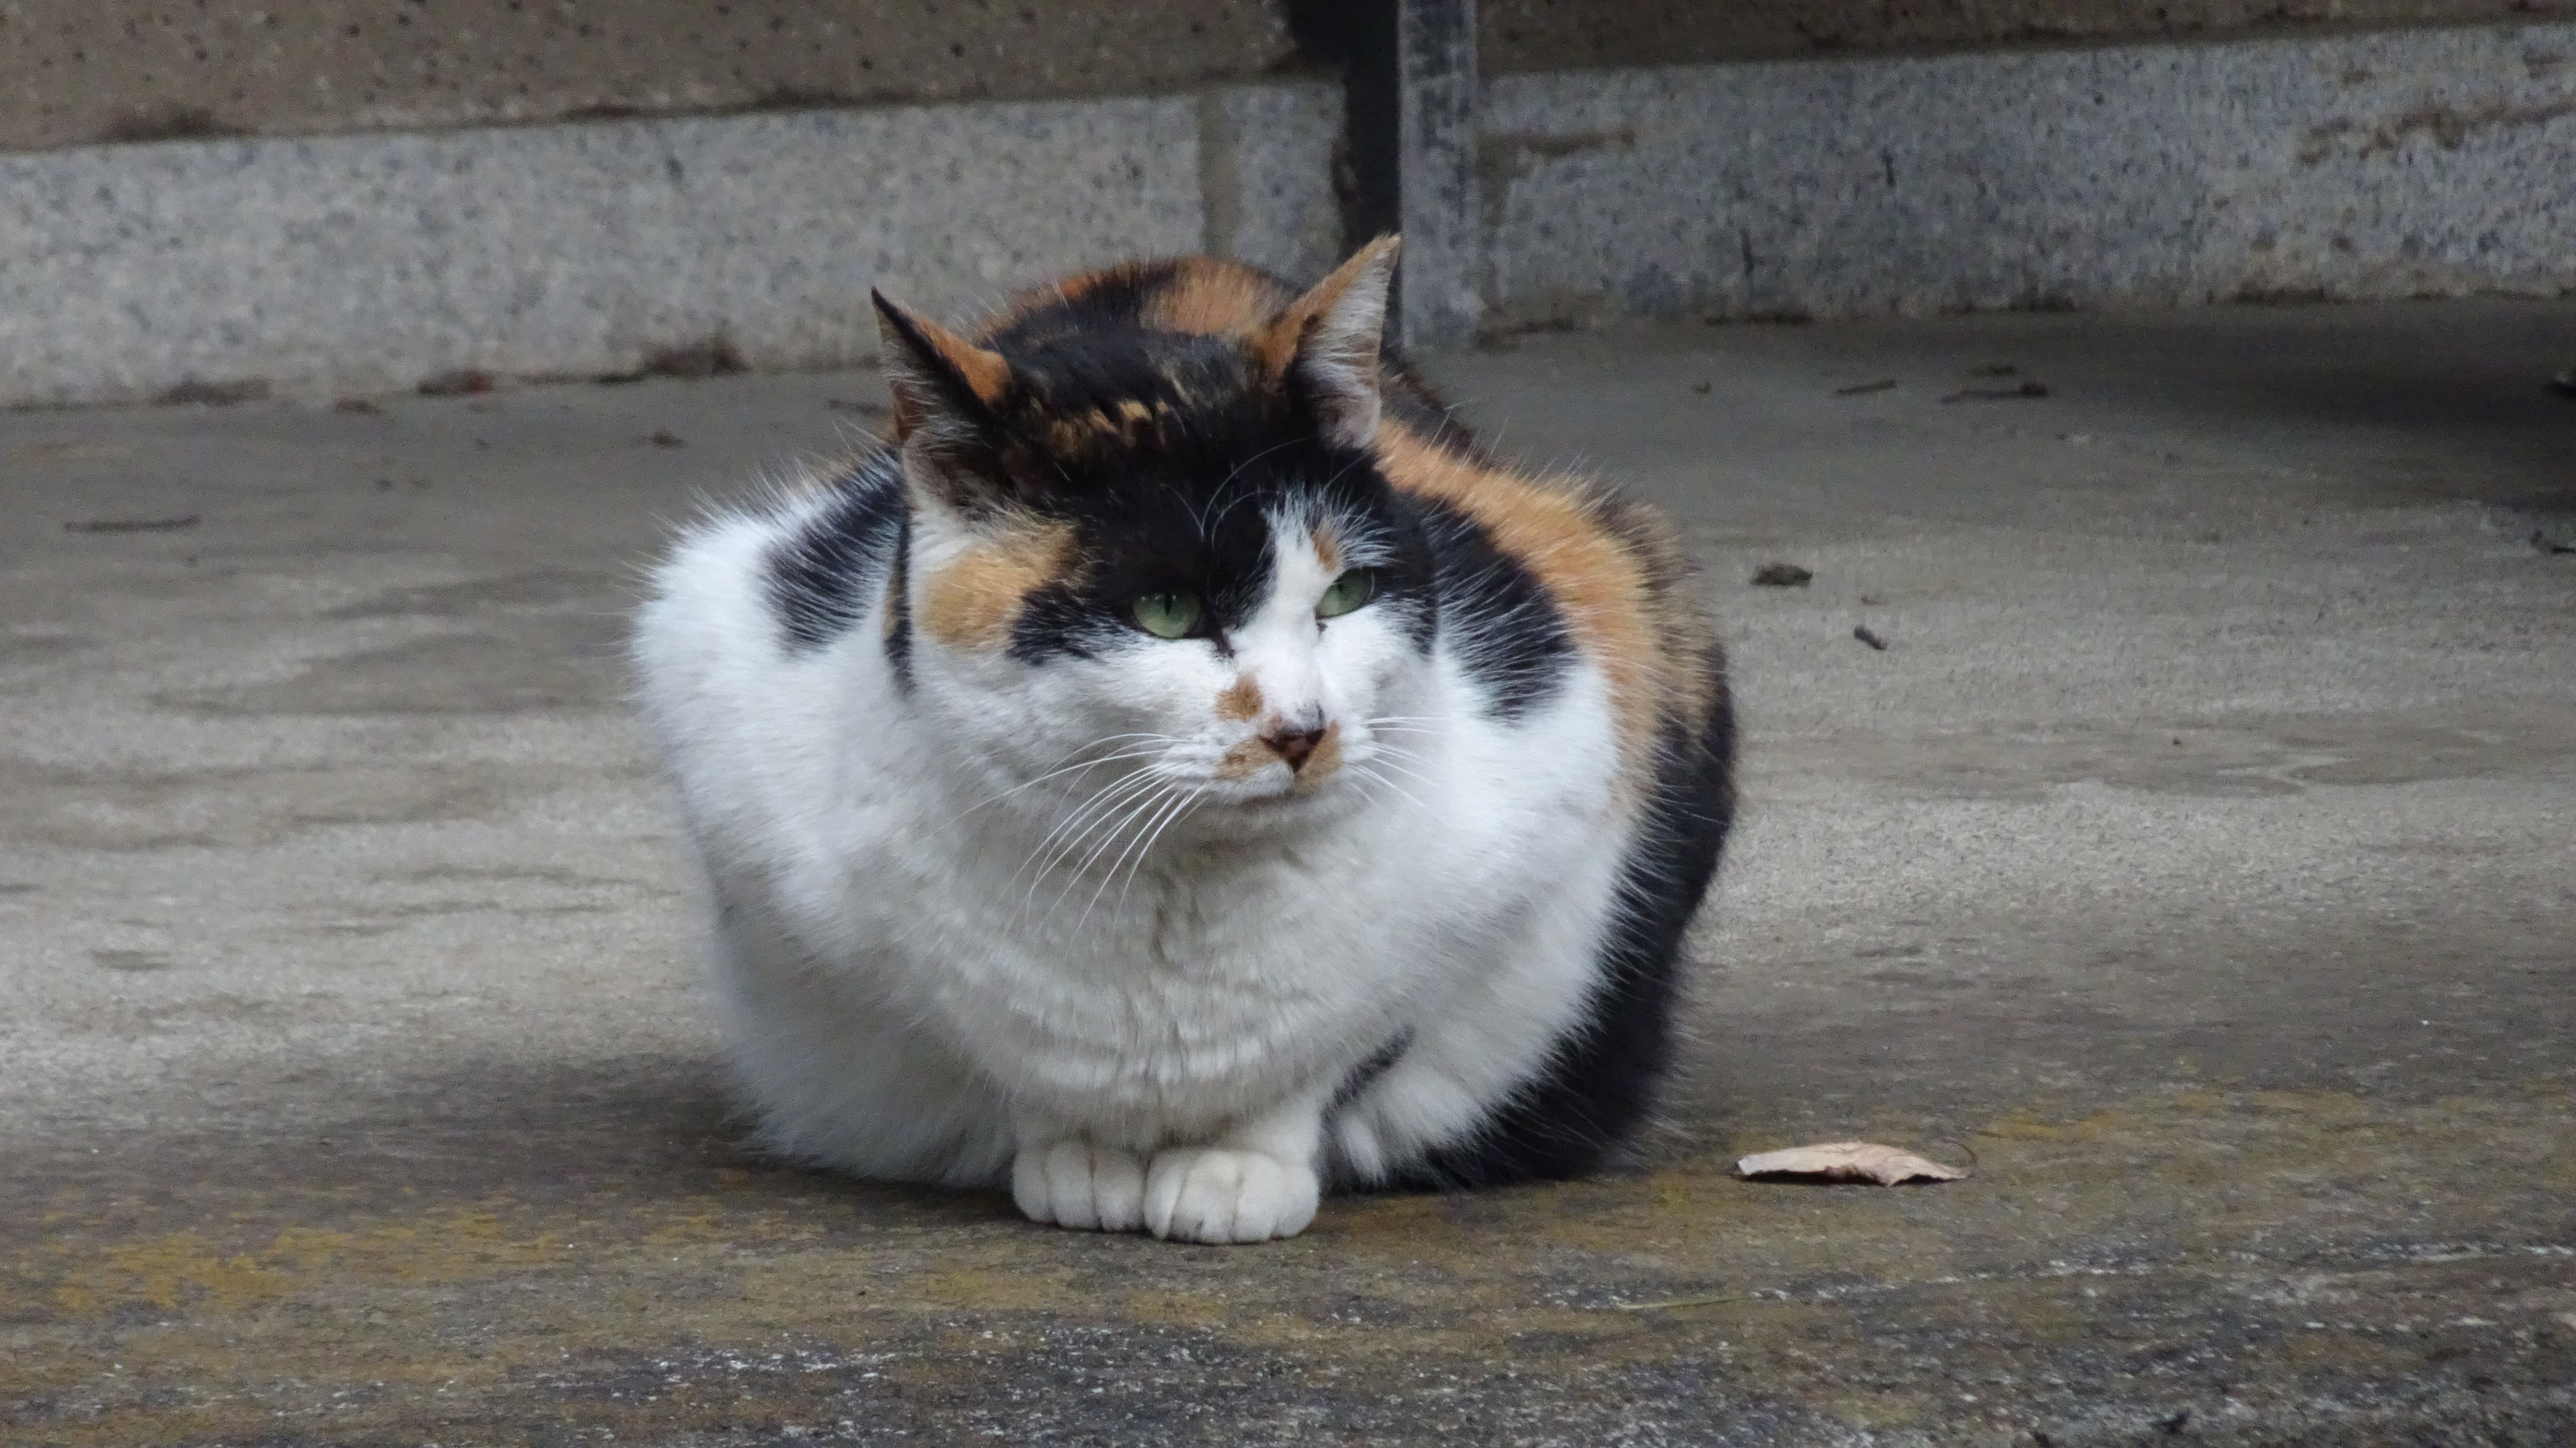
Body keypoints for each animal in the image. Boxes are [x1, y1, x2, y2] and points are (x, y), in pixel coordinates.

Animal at [631, 237, 1734, 1243]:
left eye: (1347, 593)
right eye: (1165, 611)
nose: (1303, 728)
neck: (1174, 890)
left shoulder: (1573, 732)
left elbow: (1352, 1041)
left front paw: (1237, 1169)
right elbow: (1001, 1059)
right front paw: (1078, 1155)